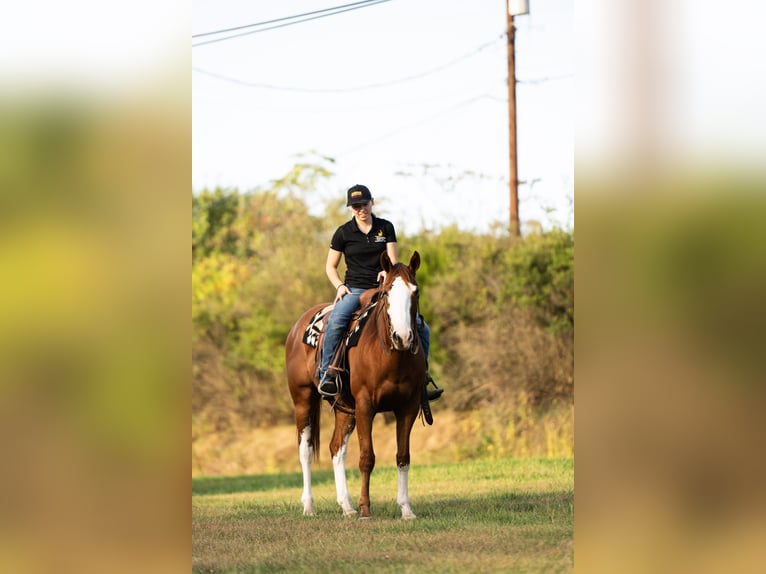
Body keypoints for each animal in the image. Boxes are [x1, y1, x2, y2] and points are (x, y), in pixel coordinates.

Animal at [285, 251, 427, 519]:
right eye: (386, 292)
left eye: (415, 291)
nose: (402, 337)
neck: (390, 356)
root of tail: (298, 327)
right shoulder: (365, 405)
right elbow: (366, 458)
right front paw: (365, 509)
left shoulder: (408, 407)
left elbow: (403, 457)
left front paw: (406, 509)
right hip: (303, 400)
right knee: (305, 450)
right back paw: (309, 505)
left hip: (345, 409)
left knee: (336, 449)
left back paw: (346, 506)